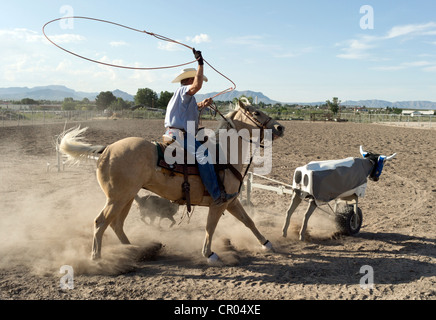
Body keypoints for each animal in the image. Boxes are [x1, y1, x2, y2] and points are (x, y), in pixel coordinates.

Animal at [59, 99, 284, 264]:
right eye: (256, 113)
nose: (280, 127)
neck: (223, 154)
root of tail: (107, 149)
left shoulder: (232, 201)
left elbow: (248, 221)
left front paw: (267, 244)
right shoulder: (219, 203)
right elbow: (210, 227)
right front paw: (209, 254)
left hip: (127, 198)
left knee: (116, 224)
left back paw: (135, 250)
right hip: (117, 198)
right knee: (101, 222)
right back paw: (97, 258)